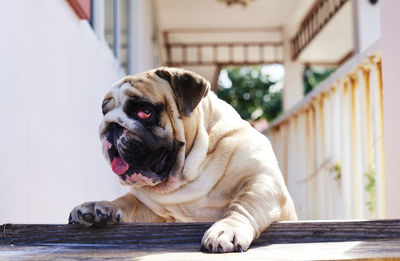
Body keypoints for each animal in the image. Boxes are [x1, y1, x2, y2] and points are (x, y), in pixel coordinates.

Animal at [68, 67, 296, 252]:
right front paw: (98, 207)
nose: (111, 125)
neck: (191, 170)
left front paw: (226, 230)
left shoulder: (261, 180)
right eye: (104, 113)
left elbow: (243, 205)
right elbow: (125, 201)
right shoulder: (148, 207)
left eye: (144, 112)